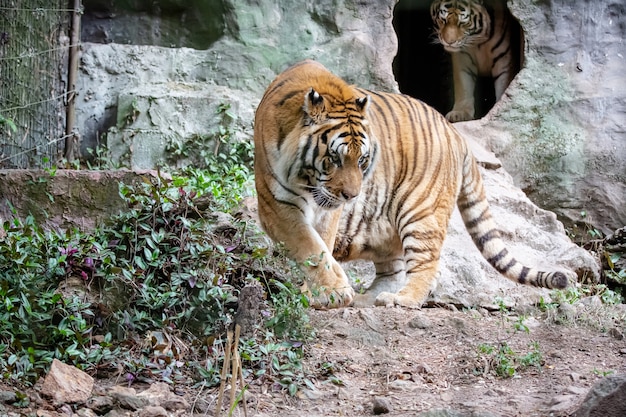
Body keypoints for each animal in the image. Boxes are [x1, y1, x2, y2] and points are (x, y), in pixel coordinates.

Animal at [252, 59, 572, 308]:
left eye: (362, 160)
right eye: (335, 158)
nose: (350, 196)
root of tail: (455, 132)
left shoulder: (325, 210)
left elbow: (319, 247)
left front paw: (325, 293)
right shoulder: (276, 204)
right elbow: (311, 247)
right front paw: (329, 291)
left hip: (420, 210)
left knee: (425, 265)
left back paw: (402, 300)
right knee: (392, 269)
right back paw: (369, 299)